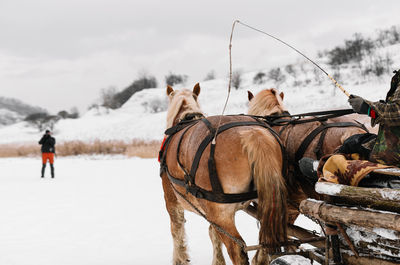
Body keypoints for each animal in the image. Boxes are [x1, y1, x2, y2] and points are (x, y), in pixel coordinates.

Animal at [161, 84, 290, 264]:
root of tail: (254, 135)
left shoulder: (172, 200)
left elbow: (177, 231)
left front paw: (180, 258)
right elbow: (213, 234)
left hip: (221, 214)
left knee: (237, 249)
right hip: (268, 202)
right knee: (266, 242)